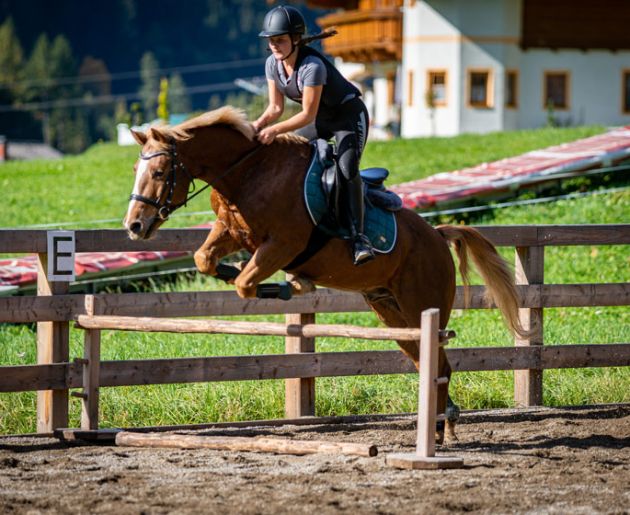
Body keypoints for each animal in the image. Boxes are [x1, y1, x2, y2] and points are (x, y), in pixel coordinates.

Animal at [123, 106, 528, 444]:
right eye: (135, 172)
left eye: (159, 172)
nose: (134, 226)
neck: (248, 172)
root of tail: (438, 236)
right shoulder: (232, 231)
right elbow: (204, 258)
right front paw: (238, 271)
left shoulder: (282, 244)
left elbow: (244, 283)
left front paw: (291, 285)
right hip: (391, 311)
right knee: (425, 361)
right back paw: (444, 420)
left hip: (422, 307)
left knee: (439, 364)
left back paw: (440, 431)